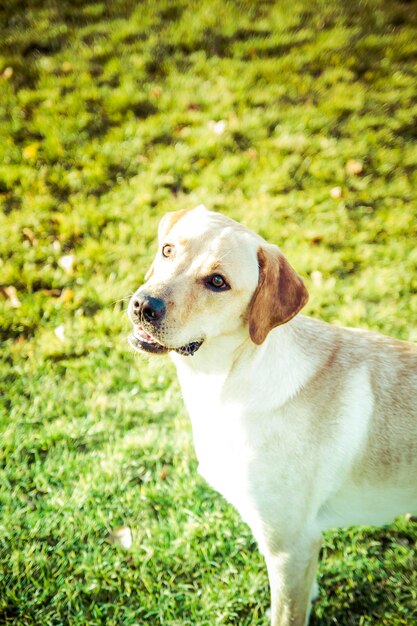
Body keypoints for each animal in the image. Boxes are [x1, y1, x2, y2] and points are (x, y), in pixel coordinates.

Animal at [127, 206, 416, 624]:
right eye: (167, 250)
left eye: (217, 282)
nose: (142, 305)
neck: (227, 382)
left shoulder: (289, 547)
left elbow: (285, 613)